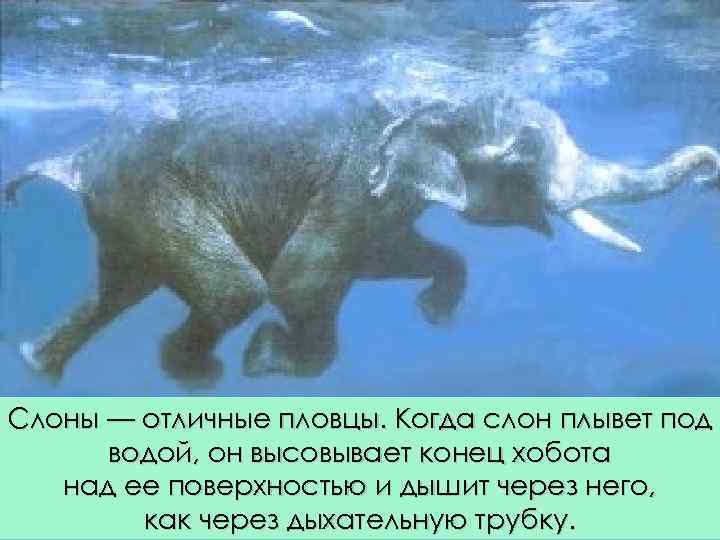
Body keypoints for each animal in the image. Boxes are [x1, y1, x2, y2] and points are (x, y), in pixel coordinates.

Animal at [5, 87, 720, 384]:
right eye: (519, 154)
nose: (711, 175)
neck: (436, 99)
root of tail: (79, 157)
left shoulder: (384, 199)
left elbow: (385, 257)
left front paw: (434, 318)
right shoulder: (354, 179)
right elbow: (302, 277)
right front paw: (265, 361)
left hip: (130, 209)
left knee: (119, 289)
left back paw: (38, 365)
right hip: (153, 192)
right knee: (234, 288)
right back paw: (200, 377)